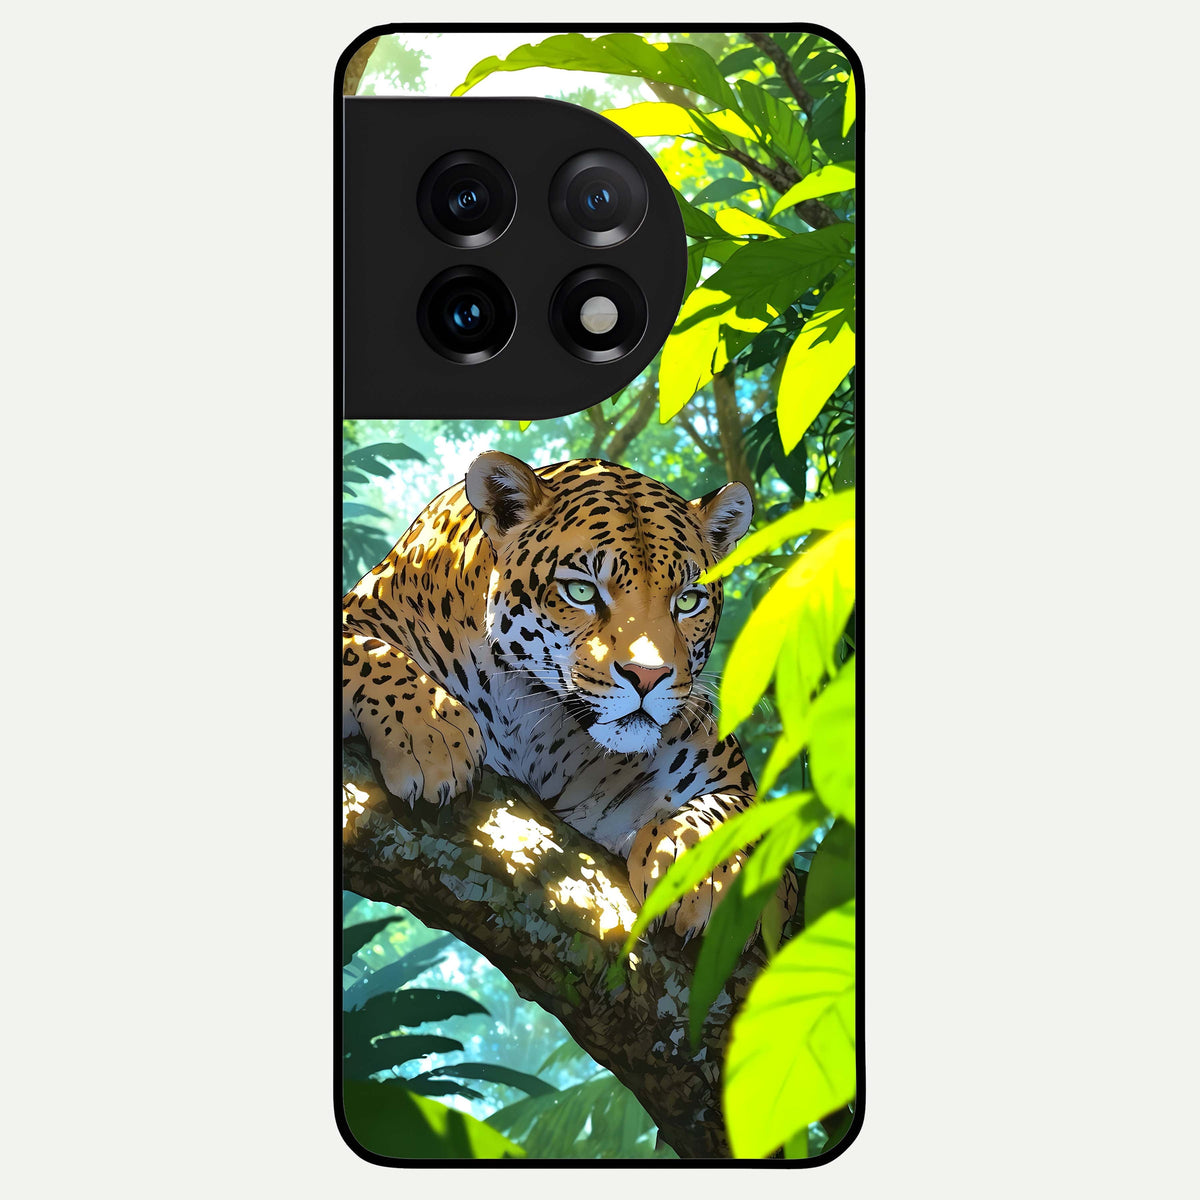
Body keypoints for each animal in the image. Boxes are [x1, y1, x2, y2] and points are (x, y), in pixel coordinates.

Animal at [342, 451, 796, 937]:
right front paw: (431, 733)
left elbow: (742, 811)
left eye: (688, 601)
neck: (533, 720)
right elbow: (364, 649)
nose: (647, 676)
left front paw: (699, 868)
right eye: (581, 591)